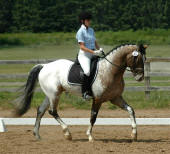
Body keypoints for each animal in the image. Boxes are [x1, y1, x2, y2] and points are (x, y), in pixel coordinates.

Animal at [14, 43, 147, 142]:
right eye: (137, 58)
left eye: (144, 59)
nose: (140, 77)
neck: (110, 71)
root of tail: (44, 66)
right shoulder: (97, 99)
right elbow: (93, 117)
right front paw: (90, 136)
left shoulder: (115, 98)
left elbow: (130, 110)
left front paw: (134, 135)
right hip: (54, 94)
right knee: (52, 111)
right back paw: (67, 134)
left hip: (51, 94)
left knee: (41, 110)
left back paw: (37, 135)